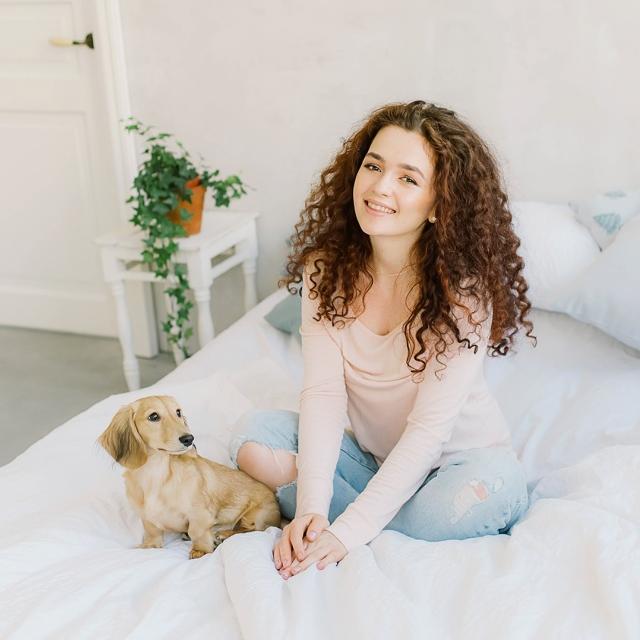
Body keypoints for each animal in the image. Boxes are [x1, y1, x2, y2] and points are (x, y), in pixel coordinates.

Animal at [98, 395, 281, 559]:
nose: (189, 439)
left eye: (178, 412)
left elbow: (196, 531)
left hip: (255, 515)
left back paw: (224, 533)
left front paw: (201, 550)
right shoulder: (147, 518)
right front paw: (149, 545)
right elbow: (152, 532)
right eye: (153, 416)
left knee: (252, 530)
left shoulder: (199, 514)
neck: (156, 476)